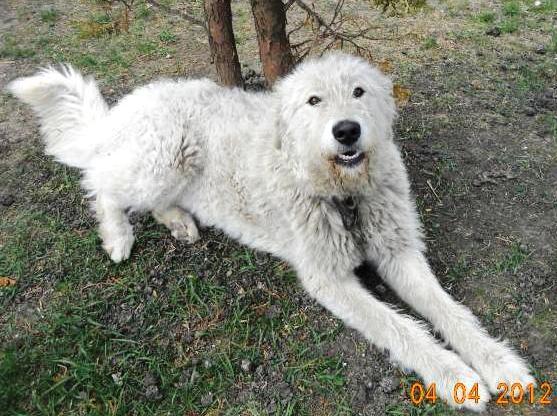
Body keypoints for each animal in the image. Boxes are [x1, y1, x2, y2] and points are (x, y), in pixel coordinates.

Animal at [7, 52, 528, 410]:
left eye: (359, 91)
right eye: (313, 100)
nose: (346, 131)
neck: (344, 195)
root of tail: (123, 109)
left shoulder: (399, 253)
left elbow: (451, 313)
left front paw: (499, 364)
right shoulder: (329, 279)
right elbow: (402, 329)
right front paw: (454, 375)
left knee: (146, 199)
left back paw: (178, 221)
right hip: (159, 159)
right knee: (101, 183)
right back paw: (117, 235)